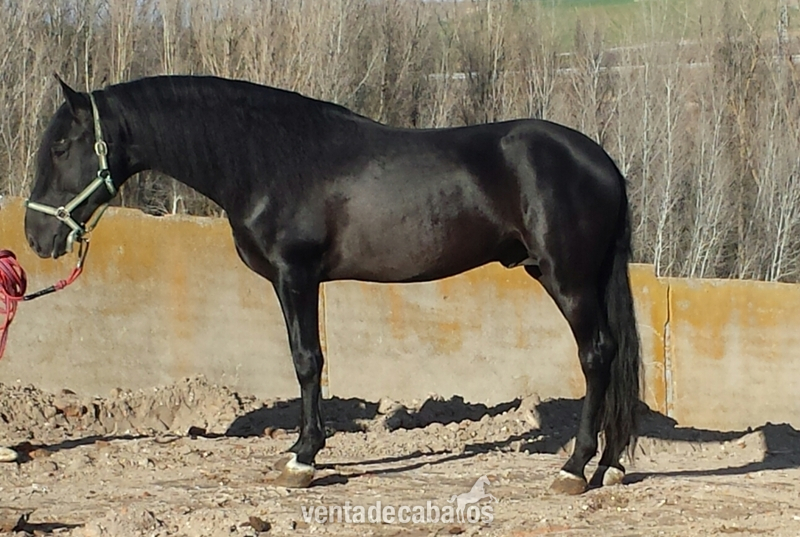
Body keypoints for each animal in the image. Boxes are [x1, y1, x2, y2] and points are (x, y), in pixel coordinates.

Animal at [24, 74, 641, 494]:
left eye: (60, 148)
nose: (35, 236)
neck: (267, 157)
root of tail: (602, 162)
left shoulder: (295, 275)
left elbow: (306, 360)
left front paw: (303, 458)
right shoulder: (303, 281)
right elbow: (312, 359)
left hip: (567, 278)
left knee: (596, 354)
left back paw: (575, 468)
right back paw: (610, 465)